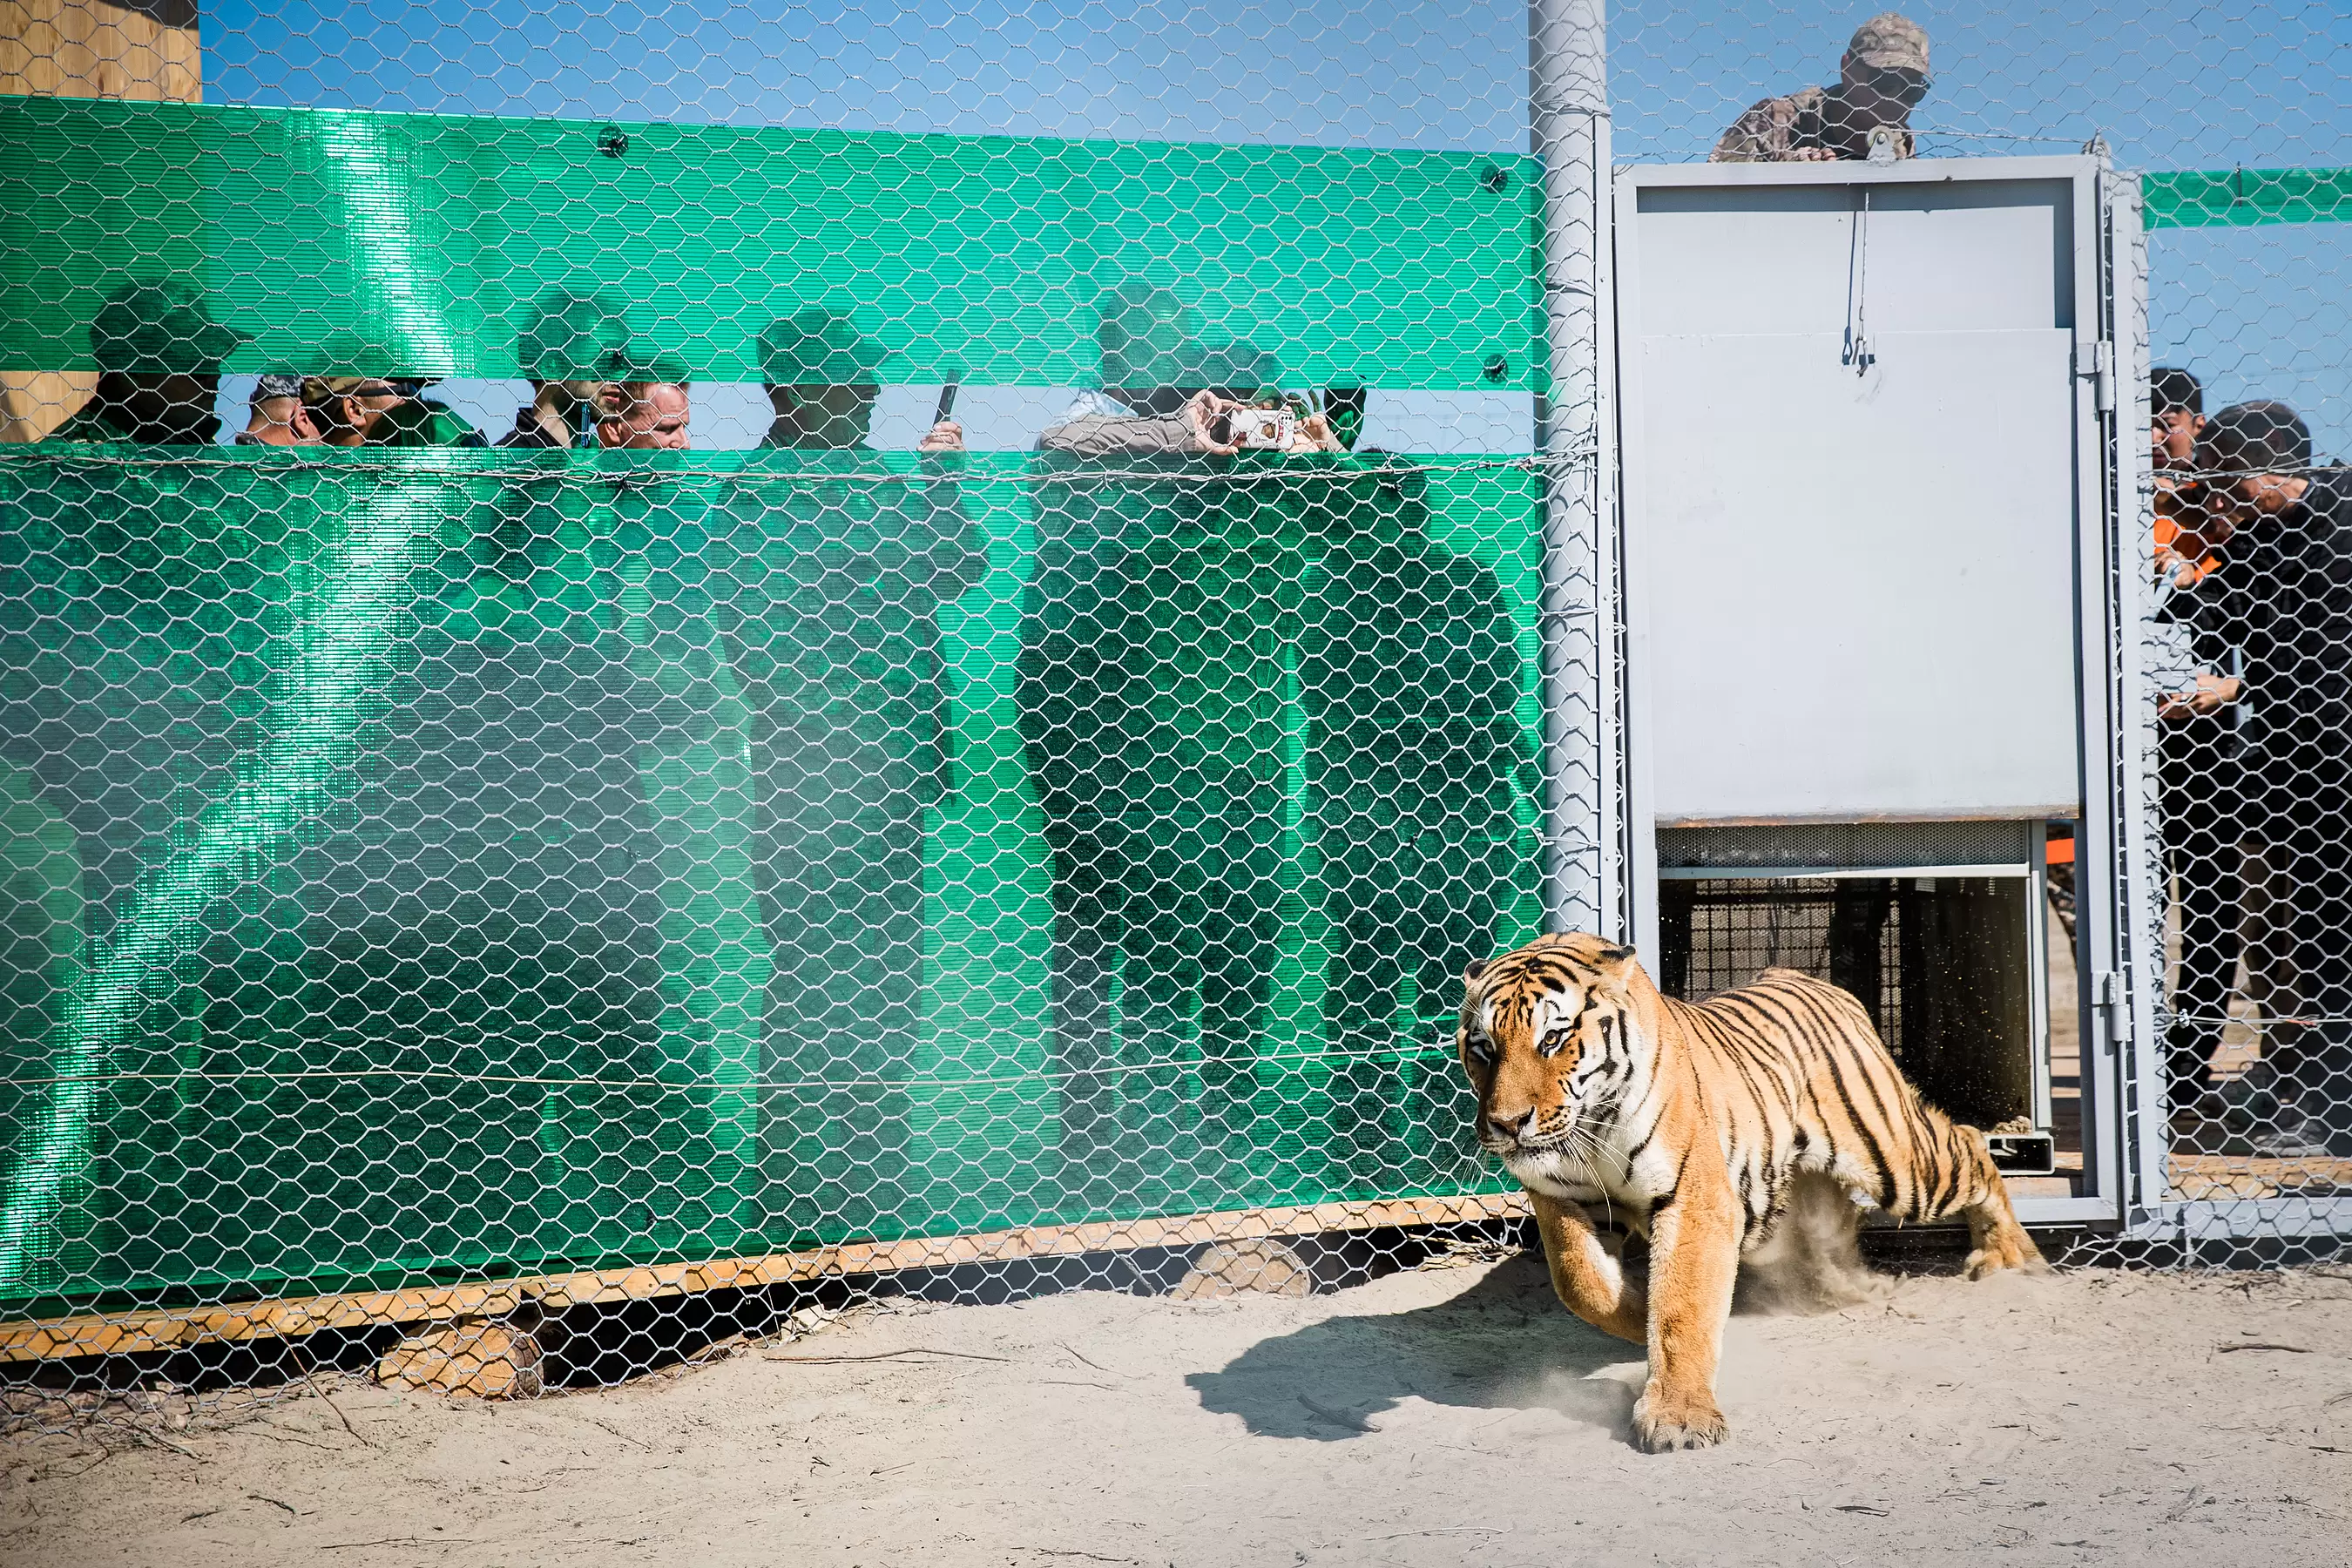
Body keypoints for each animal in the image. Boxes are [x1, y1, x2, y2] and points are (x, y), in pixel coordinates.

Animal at [1449, 930, 2041, 1457]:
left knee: (1970, 1143)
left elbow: (1683, 1305)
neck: (1591, 1126)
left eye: (1552, 1039)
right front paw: (1637, 1314)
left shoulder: (1695, 1199)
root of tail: (1807, 977)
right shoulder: (1560, 1199)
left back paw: (2010, 1257)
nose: (1506, 1124)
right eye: (1484, 1049)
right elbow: (1581, 1283)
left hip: (1897, 1162)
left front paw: (1679, 1416)